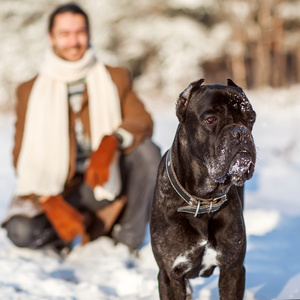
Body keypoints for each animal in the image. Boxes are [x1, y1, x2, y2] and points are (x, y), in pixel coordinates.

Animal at [150, 79, 255, 300]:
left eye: (251, 118)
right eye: (210, 119)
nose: (240, 132)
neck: (203, 200)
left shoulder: (233, 269)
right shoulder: (169, 275)